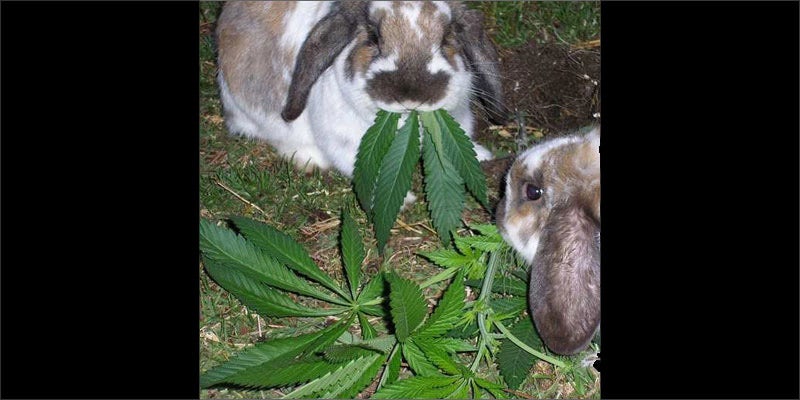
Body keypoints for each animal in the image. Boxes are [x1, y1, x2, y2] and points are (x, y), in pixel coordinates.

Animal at [215, 1, 507, 177]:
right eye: (374, 38)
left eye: (446, 38)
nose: (412, 97)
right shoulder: (345, 139)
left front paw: (482, 155)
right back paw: (310, 160)